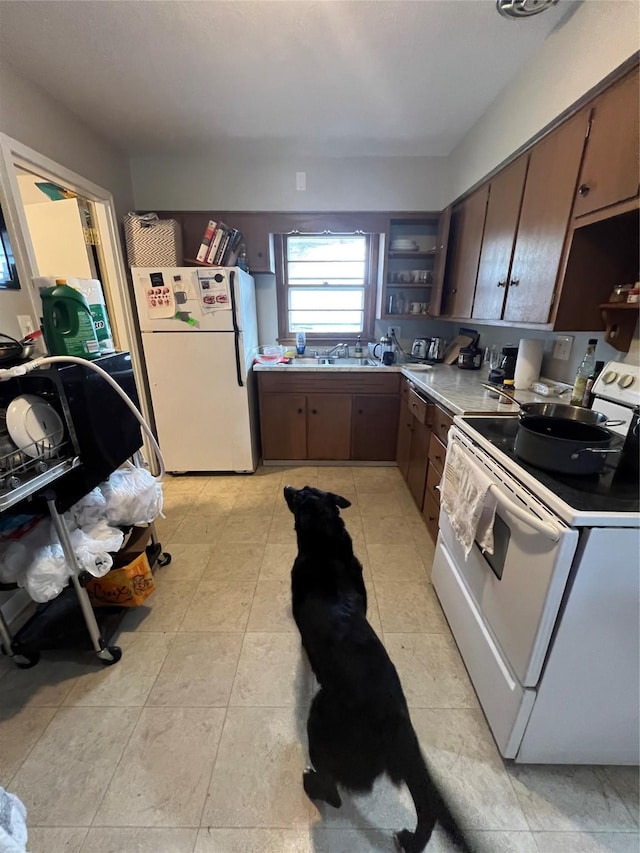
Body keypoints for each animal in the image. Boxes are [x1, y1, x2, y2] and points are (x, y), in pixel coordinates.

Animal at [286, 486, 476, 852]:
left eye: (301, 494)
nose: (287, 487)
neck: (325, 546)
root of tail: (396, 719)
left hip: (320, 720)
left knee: (334, 793)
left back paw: (311, 783)